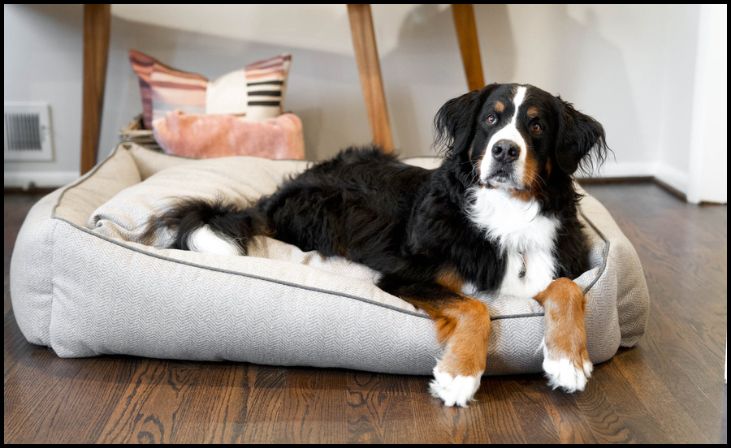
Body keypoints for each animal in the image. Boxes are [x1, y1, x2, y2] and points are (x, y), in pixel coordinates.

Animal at [147, 82, 608, 408]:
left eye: (536, 126)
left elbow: (568, 289)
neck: (508, 212)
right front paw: (458, 376)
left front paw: (567, 362)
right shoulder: (405, 278)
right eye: (490, 122)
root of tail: (279, 193)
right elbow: (475, 308)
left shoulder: (551, 266)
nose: (505, 151)